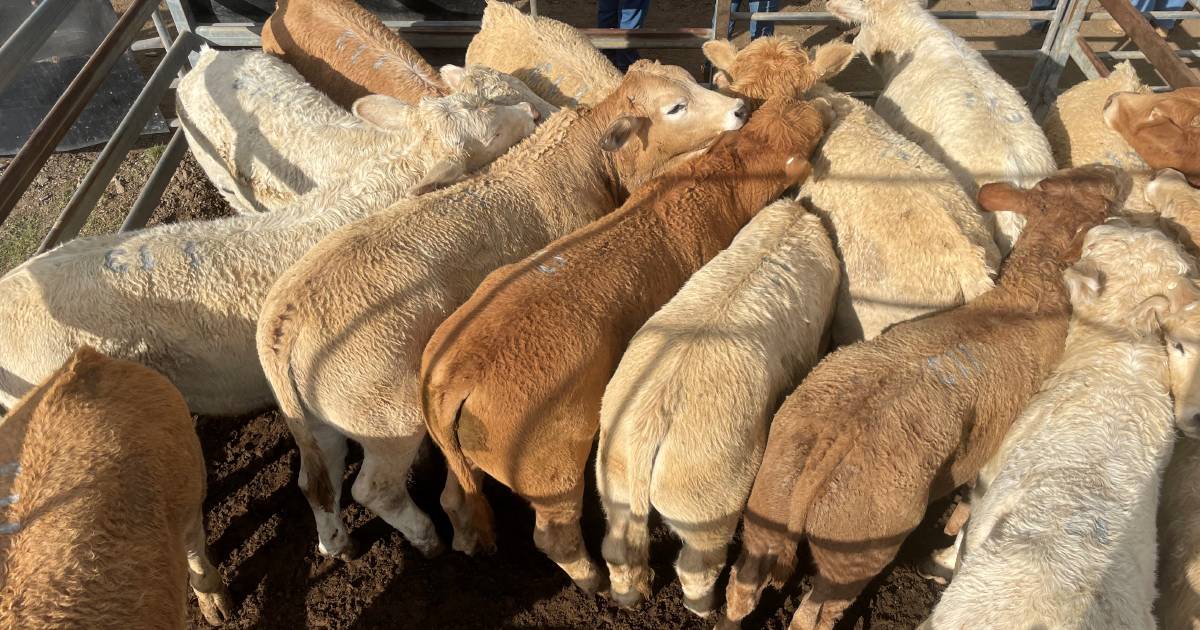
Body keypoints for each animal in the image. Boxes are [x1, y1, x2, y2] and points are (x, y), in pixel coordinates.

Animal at [420, 96, 825, 592]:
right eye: (812, 135)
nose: (823, 104)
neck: (716, 184)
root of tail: (458, 372)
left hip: (456, 452)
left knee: (454, 496)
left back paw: (470, 541)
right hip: (550, 467)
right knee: (554, 535)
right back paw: (591, 579)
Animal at [720, 164, 1123, 624]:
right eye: (1105, 208)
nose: (1114, 172)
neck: (1029, 294)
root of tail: (825, 454)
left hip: (769, 500)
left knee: (743, 584)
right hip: (859, 545)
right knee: (813, 614)